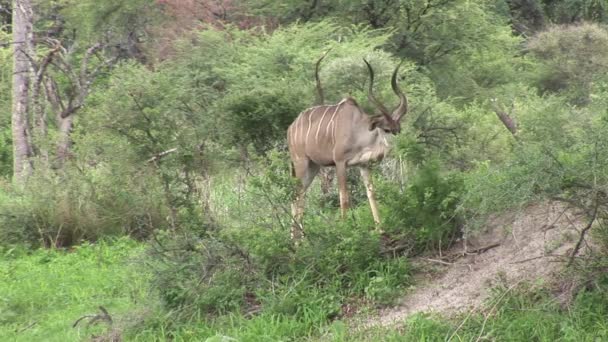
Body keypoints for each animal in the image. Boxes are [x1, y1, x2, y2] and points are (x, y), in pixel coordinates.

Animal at [286, 56, 408, 239]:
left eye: (398, 129)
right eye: (387, 130)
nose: (399, 147)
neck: (357, 129)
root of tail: (290, 127)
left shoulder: (363, 164)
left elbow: (371, 193)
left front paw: (380, 228)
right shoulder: (340, 163)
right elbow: (344, 198)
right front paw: (345, 231)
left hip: (313, 167)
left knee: (300, 197)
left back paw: (300, 239)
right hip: (301, 163)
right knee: (296, 197)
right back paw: (296, 241)